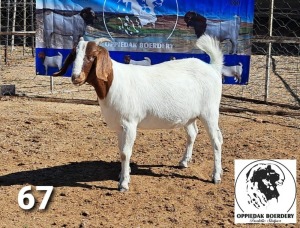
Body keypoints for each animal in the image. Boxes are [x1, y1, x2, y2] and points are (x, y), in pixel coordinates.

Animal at [54, 34, 224, 191]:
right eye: (74, 55)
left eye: (91, 56)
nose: (76, 77)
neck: (113, 82)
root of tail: (213, 68)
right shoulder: (119, 126)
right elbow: (121, 151)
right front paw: (124, 173)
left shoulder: (129, 124)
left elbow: (125, 152)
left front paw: (123, 183)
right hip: (189, 116)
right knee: (193, 134)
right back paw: (184, 162)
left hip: (210, 112)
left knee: (216, 141)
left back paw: (216, 176)